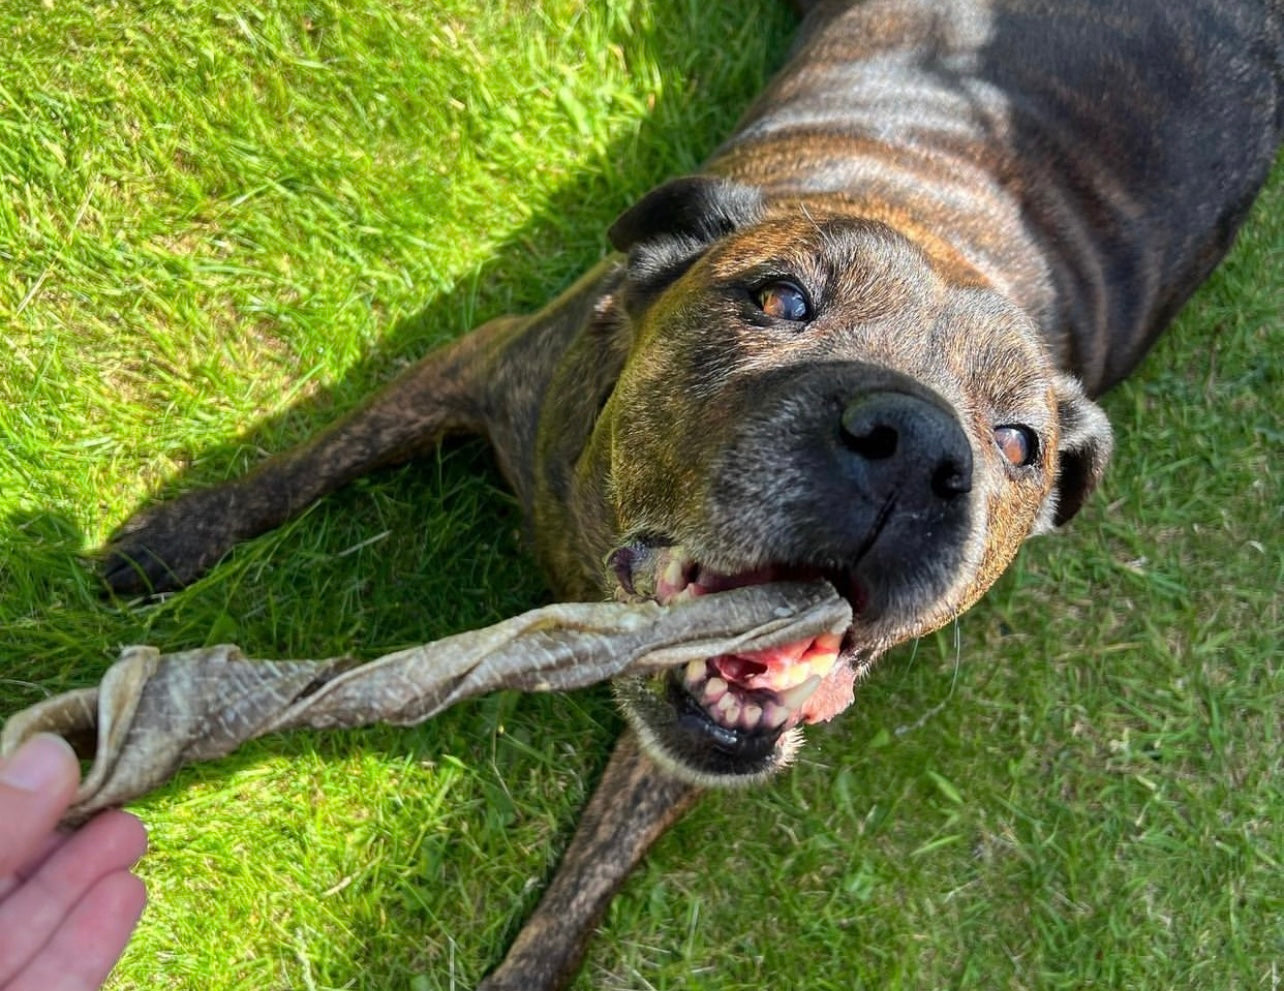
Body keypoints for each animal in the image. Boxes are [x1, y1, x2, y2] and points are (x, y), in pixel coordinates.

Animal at [102, 1, 1284, 991]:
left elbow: (587, 880)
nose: (914, 452)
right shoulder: (481, 366)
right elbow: (305, 460)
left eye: (1018, 442)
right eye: (781, 298)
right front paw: (173, 538)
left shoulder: (677, 754)